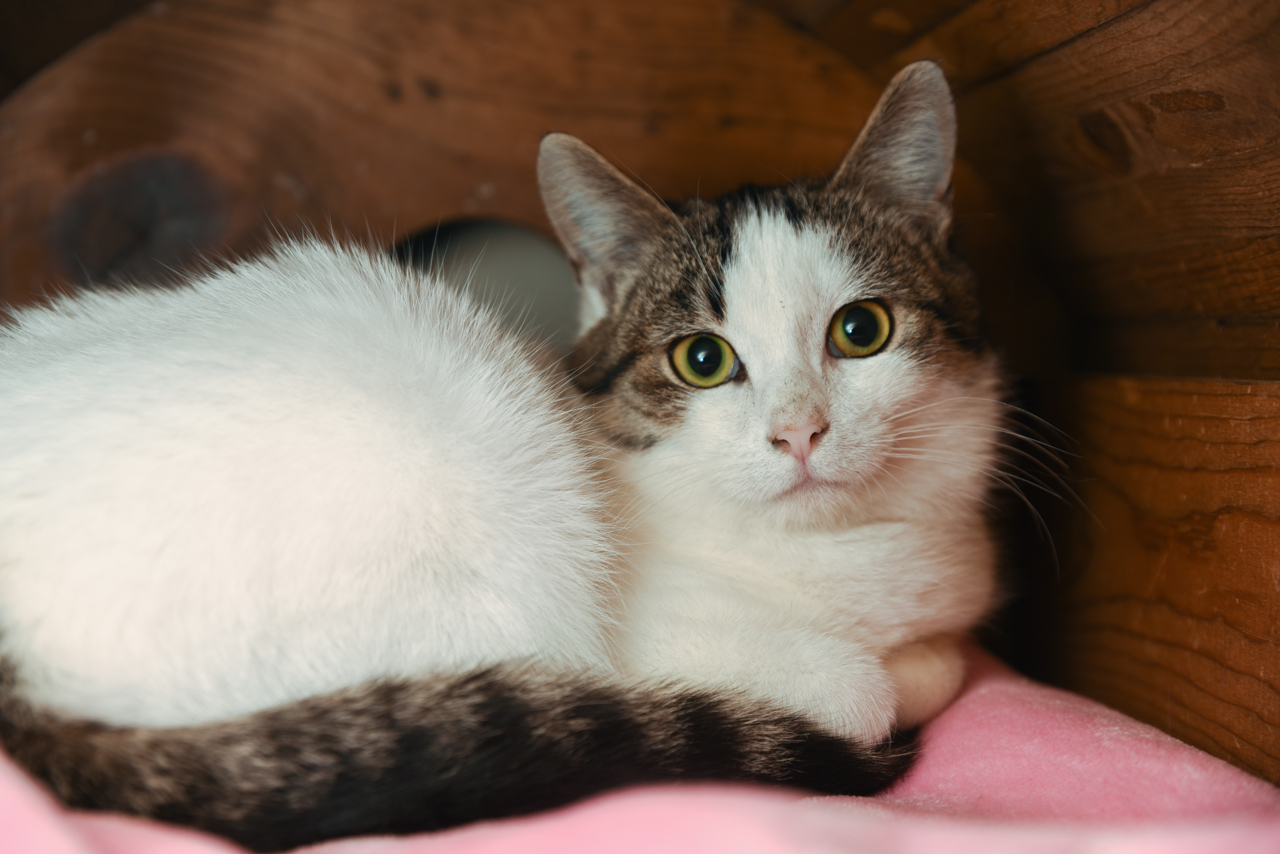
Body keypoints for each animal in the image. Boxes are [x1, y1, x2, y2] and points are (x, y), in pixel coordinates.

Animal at [0, 58, 998, 850]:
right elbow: (875, 687)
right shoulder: (634, 645)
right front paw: (888, 678)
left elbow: (946, 657)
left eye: (860, 330)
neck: (846, 556)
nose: (799, 431)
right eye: (703, 361)